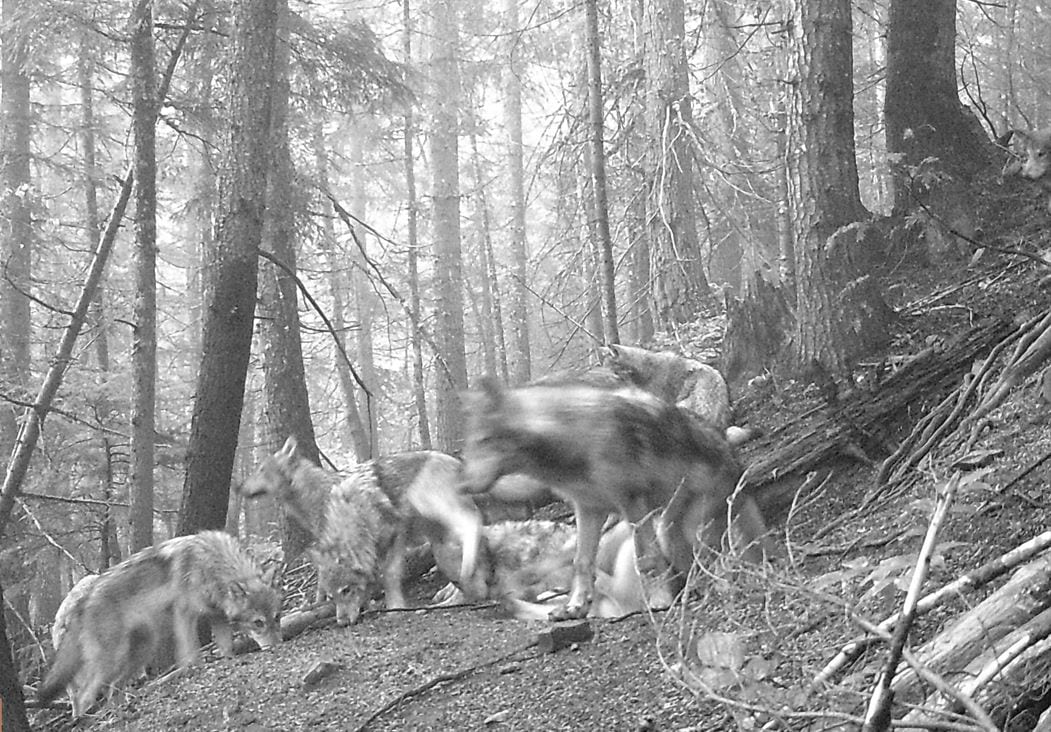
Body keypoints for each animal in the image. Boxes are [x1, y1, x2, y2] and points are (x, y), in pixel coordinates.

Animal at [38, 531, 282, 717]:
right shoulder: (184, 614)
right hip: (111, 660)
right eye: (258, 623)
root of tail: (81, 604)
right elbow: (191, 654)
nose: (276, 646)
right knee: (82, 697)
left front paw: (228, 660)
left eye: (277, 617)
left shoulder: (217, 617)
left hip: (141, 652)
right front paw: (195, 669)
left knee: (113, 690)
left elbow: (226, 648)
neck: (209, 563)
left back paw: (120, 711)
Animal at [240, 437, 482, 626]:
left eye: (260, 470)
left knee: (471, 528)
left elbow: (388, 575)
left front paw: (392, 607)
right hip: (436, 532)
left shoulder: (393, 533)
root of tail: (458, 462)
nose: (238, 487)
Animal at [460, 377, 773, 620]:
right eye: (468, 447)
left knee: (718, 561)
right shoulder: (588, 509)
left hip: (677, 528)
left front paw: (657, 603)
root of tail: (737, 465)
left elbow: (645, 560)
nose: (462, 485)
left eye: (483, 442)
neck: (573, 439)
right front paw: (574, 608)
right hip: (672, 530)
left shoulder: (632, 504)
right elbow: (582, 562)